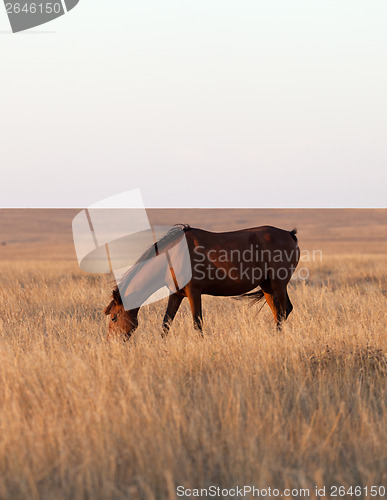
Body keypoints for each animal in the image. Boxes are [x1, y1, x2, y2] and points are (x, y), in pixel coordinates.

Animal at [103, 226, 300, 340]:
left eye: (114, 317)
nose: (112, 342)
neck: (172, 257)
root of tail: (290, 235)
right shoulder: (176, 294)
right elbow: (166, 323)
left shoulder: (193, 293)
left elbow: (197, 323)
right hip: (267, 286)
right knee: (278, 313)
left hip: (278, 284)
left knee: (285, 310)